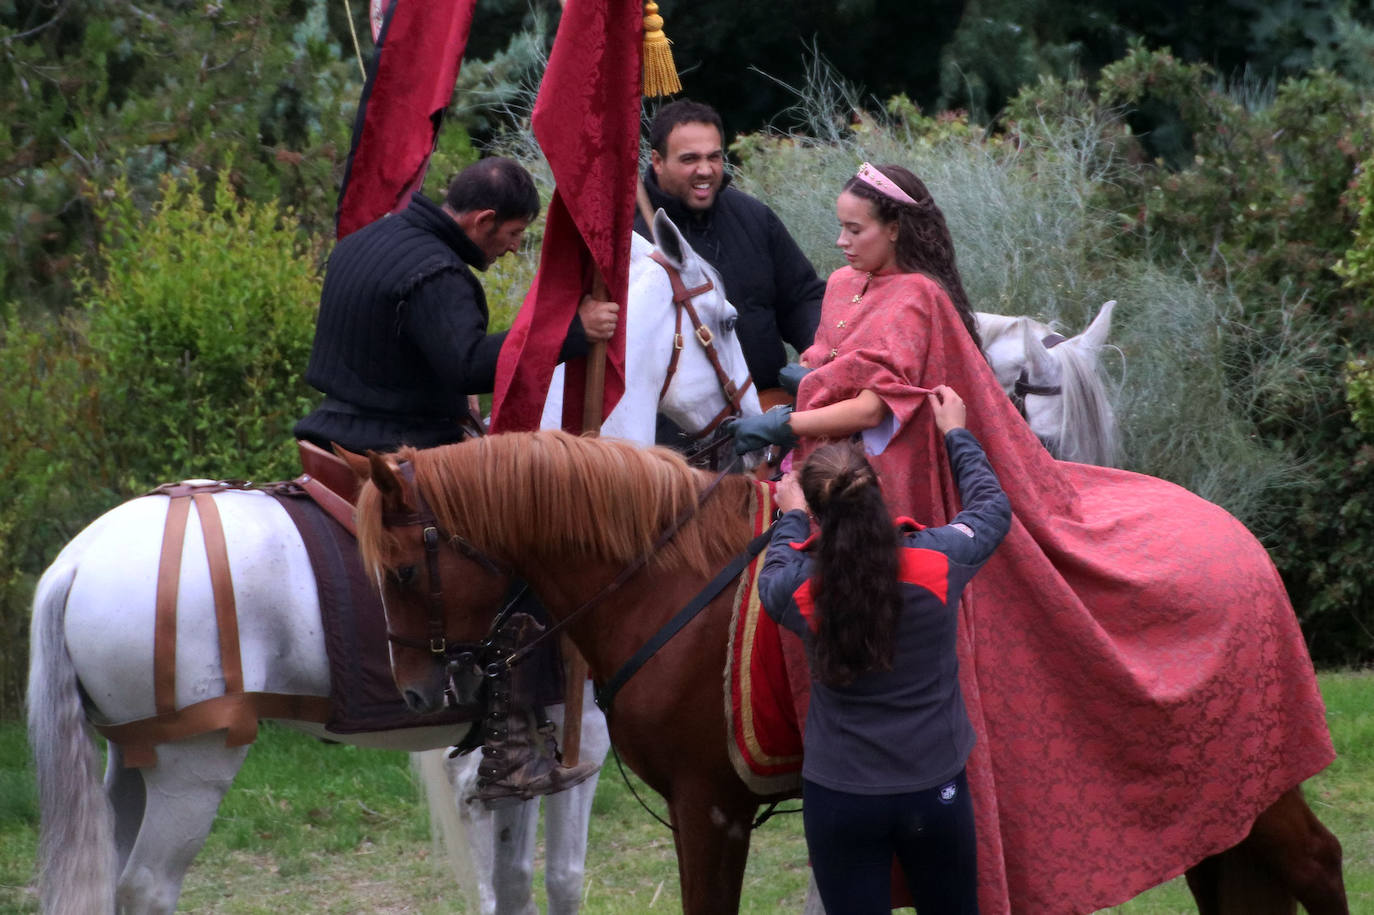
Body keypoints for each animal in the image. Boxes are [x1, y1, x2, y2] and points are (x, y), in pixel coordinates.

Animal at [24, 208, 763, 912]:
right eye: (727, 321)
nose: (748, 435)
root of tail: (76, 563)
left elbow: (515, 881)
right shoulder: (578, 743)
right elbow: (560, 880)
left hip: (130, 753)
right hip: (193, 763)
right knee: (145, 886)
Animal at [348, 428, 1346, 912]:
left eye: (402, 573)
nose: (416, 691)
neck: (663, 579)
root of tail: (1238, 536)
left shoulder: (711, 807)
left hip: (1245, 772)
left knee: (1318, 861)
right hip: (1202, 794)